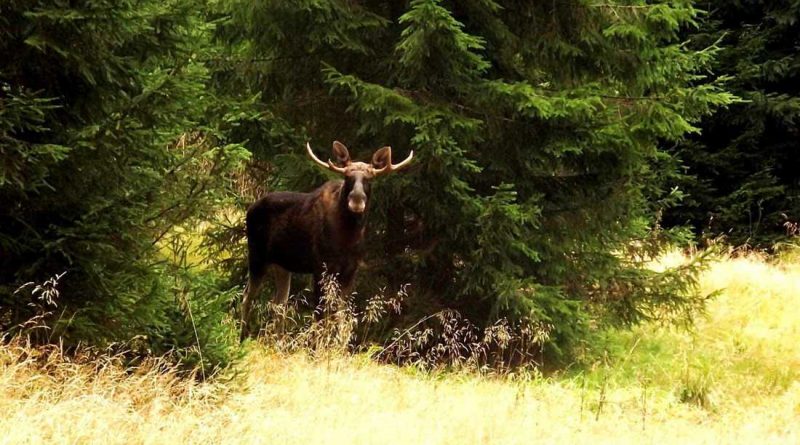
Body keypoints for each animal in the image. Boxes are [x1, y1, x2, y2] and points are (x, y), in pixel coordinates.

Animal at [240, 141, 413, 338]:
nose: (356, 199)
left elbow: (341, 315)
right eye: (348, 178)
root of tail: (249, 209)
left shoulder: (350, 270)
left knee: (279, 303)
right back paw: (243, 336)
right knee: (247, 296)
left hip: (282, 265)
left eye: (369, 179)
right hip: (256, 256)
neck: (348, 237)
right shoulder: (320, 267)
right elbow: (320, 315)